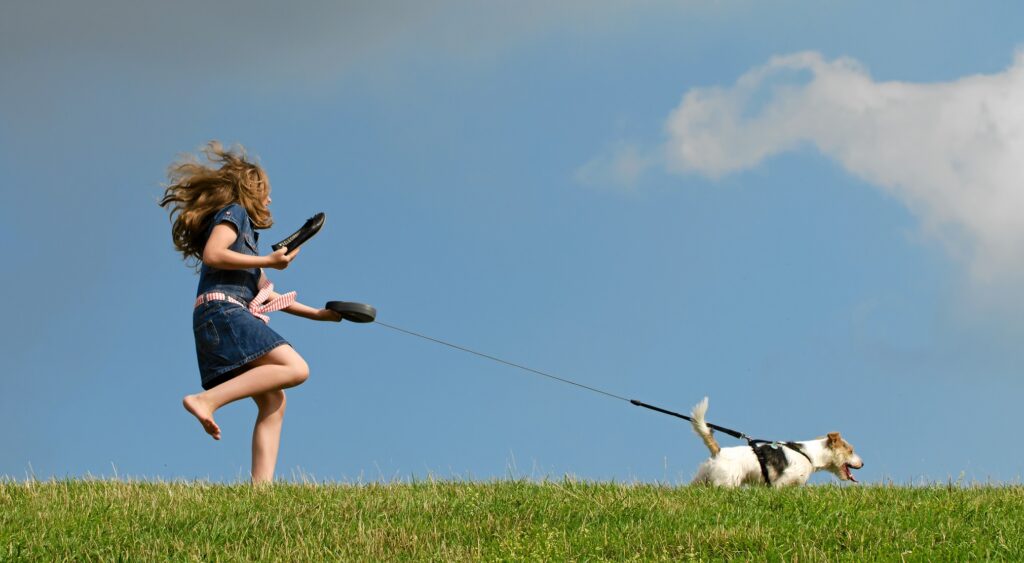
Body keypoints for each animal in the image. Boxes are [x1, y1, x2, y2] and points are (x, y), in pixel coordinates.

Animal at [688, 397, 864, 489]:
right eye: (850, 450)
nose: (862, 464)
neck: (810, 454)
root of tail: (718, 451)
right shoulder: (781, 483)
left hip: (702, 478)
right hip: (726, 482)